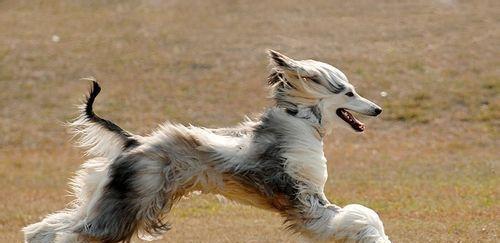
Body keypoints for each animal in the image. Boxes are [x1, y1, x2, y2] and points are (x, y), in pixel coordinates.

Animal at [24, 50, 390, 242]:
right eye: (349, 93)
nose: (377, 109)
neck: (299, 123)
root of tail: (133, 141)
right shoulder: (306, 198)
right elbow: (360, 216)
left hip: (109, 195)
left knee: (51, 227)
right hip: (130, 202)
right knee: (76, 234)